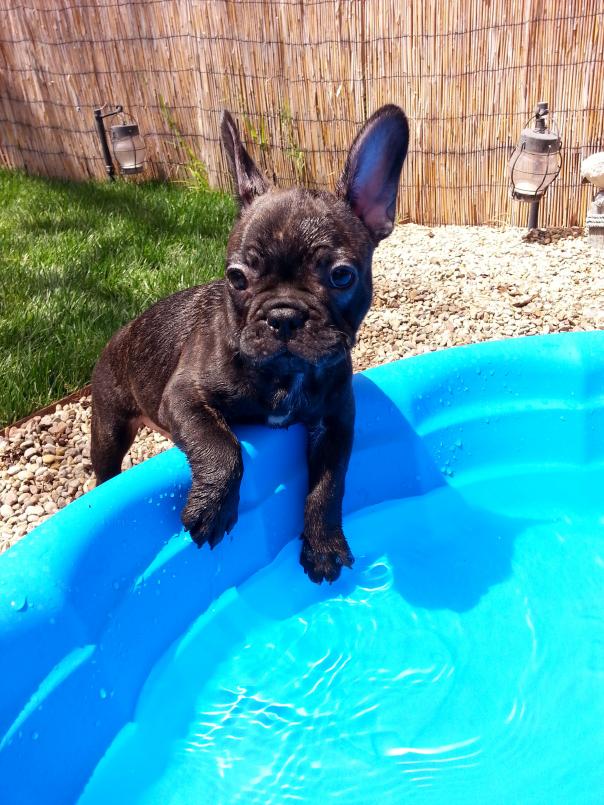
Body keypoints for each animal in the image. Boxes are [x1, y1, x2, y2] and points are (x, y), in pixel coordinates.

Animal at [91, 105, 410, 584]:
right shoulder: (185, 395)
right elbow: (222, 445)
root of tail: (118, 334)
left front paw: (323, 544)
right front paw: (212, 509)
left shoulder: (336, 422)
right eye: (236, 278)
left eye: (341, 276)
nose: (283, 315)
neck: (285, 375)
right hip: (109, 426)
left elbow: (329, 483)